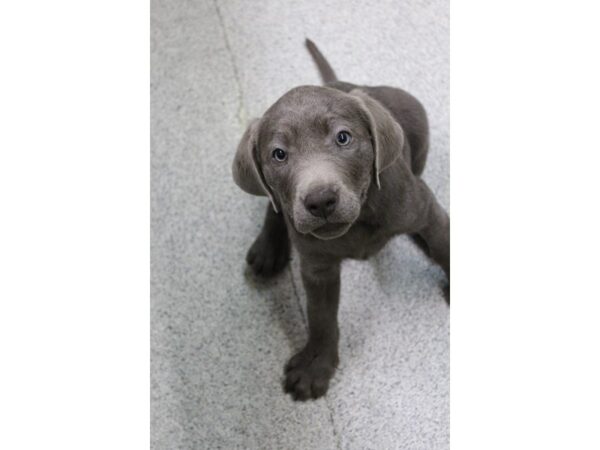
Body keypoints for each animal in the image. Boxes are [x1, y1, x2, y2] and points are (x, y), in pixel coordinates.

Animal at [232, 39, 448, 400]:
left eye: (343, 137)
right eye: (279, 155)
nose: (320, 201)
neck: (361, 217)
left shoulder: (425, 210)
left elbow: (445, 247)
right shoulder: (317, 266)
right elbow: (321, 318)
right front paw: (315, 367)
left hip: (415, 114)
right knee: (275, 207)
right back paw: (268, 249)